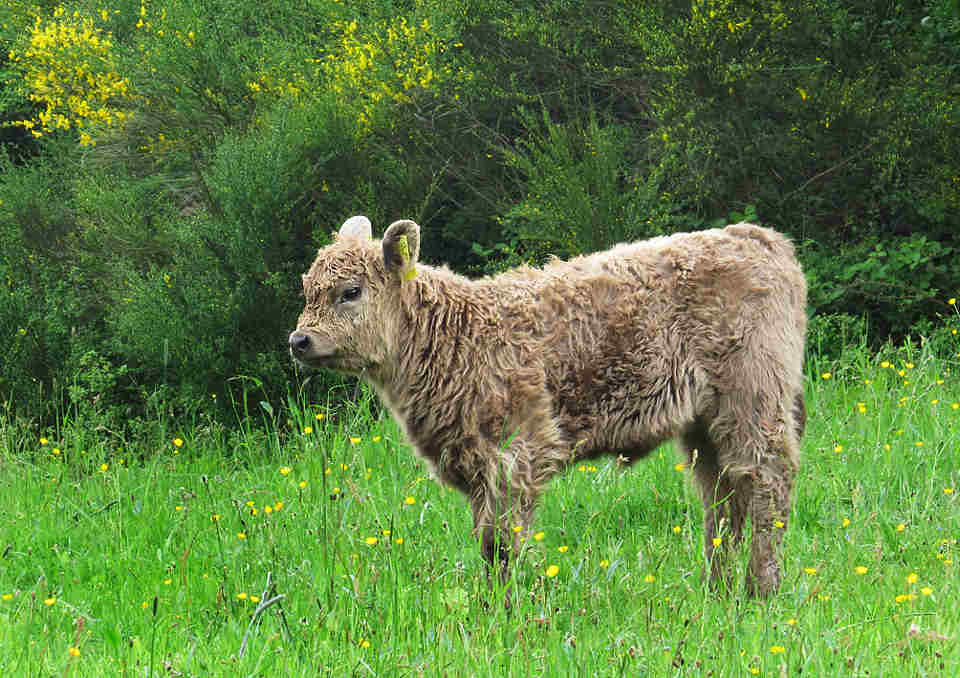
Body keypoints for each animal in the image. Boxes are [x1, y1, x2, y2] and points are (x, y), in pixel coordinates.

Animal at [288, 215, 808, 596]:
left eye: (351, 291)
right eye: (308, 291)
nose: (299, 340)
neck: (457, 335)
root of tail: (756, 236)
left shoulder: (514, 454)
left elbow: (499, 543)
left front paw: (503, 610)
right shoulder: (476, 466)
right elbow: (488, 540)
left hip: (753, 398)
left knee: (767, 483)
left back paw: (761, 589)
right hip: (705, 424)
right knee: (722, 496)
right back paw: (718, 589)